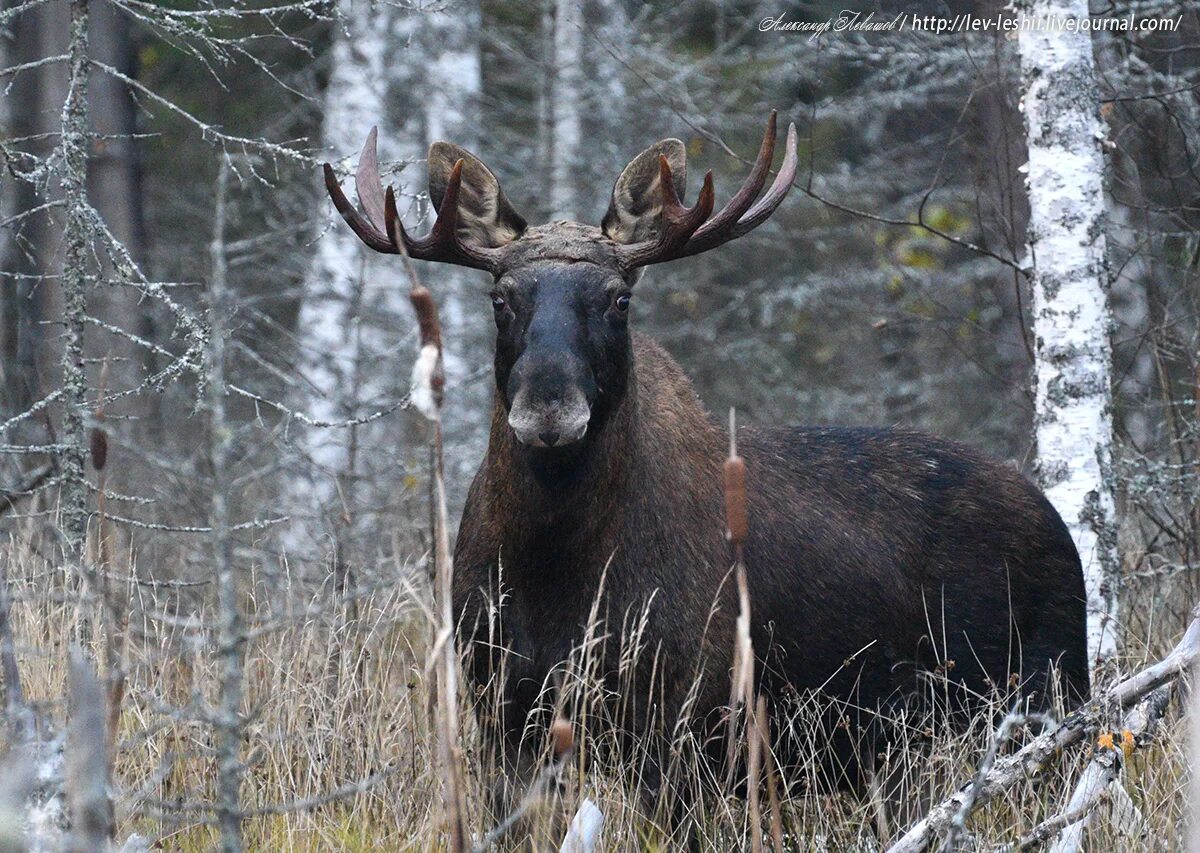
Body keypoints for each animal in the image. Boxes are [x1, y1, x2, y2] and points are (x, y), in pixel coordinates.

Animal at [324, 110, 1094, 839]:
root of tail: (1057, 524)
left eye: (619, 298)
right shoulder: (504, 715)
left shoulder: (687, 724)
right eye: (500, 298)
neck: (554, 568)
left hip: (1040, 699)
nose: (548, 406)